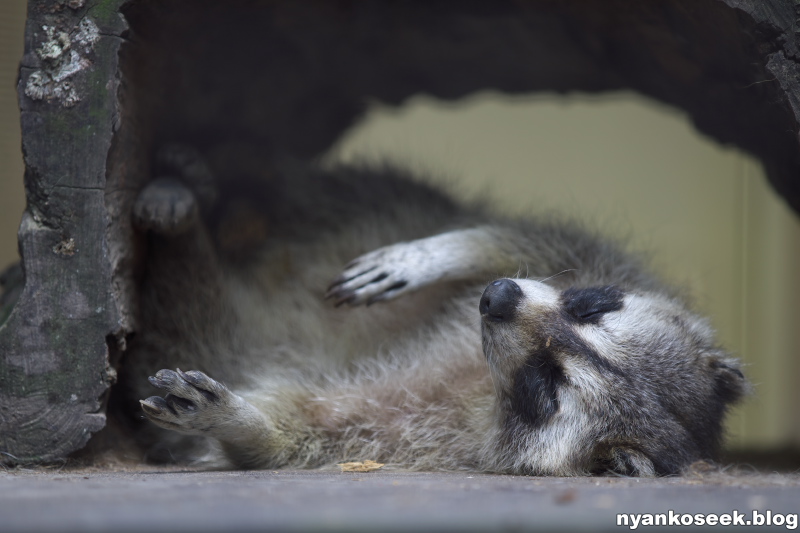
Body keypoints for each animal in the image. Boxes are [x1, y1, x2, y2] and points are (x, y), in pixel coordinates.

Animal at [122, 143, 748, 476]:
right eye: (590, 305)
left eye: (546, 385)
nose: (497, 298)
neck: (481, 375)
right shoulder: (591, 258)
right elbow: (521, 237)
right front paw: (441, 251)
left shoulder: (426, 429)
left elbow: (313, 429)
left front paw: (240, 421)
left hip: (208, 327)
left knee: (185, 309)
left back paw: (182, 229)